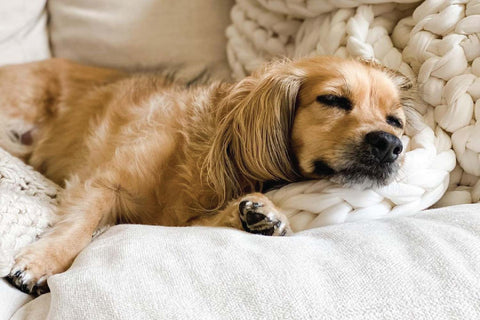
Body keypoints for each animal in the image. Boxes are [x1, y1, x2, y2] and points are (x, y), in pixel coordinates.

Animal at [0, 56, 414, 294]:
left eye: (396, 122)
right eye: (333, 100)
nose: (390, 145)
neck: (204, 147)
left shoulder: (178, 221)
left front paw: (264, 214)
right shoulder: (101, 184)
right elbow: (78, 228)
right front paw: (42, 262)